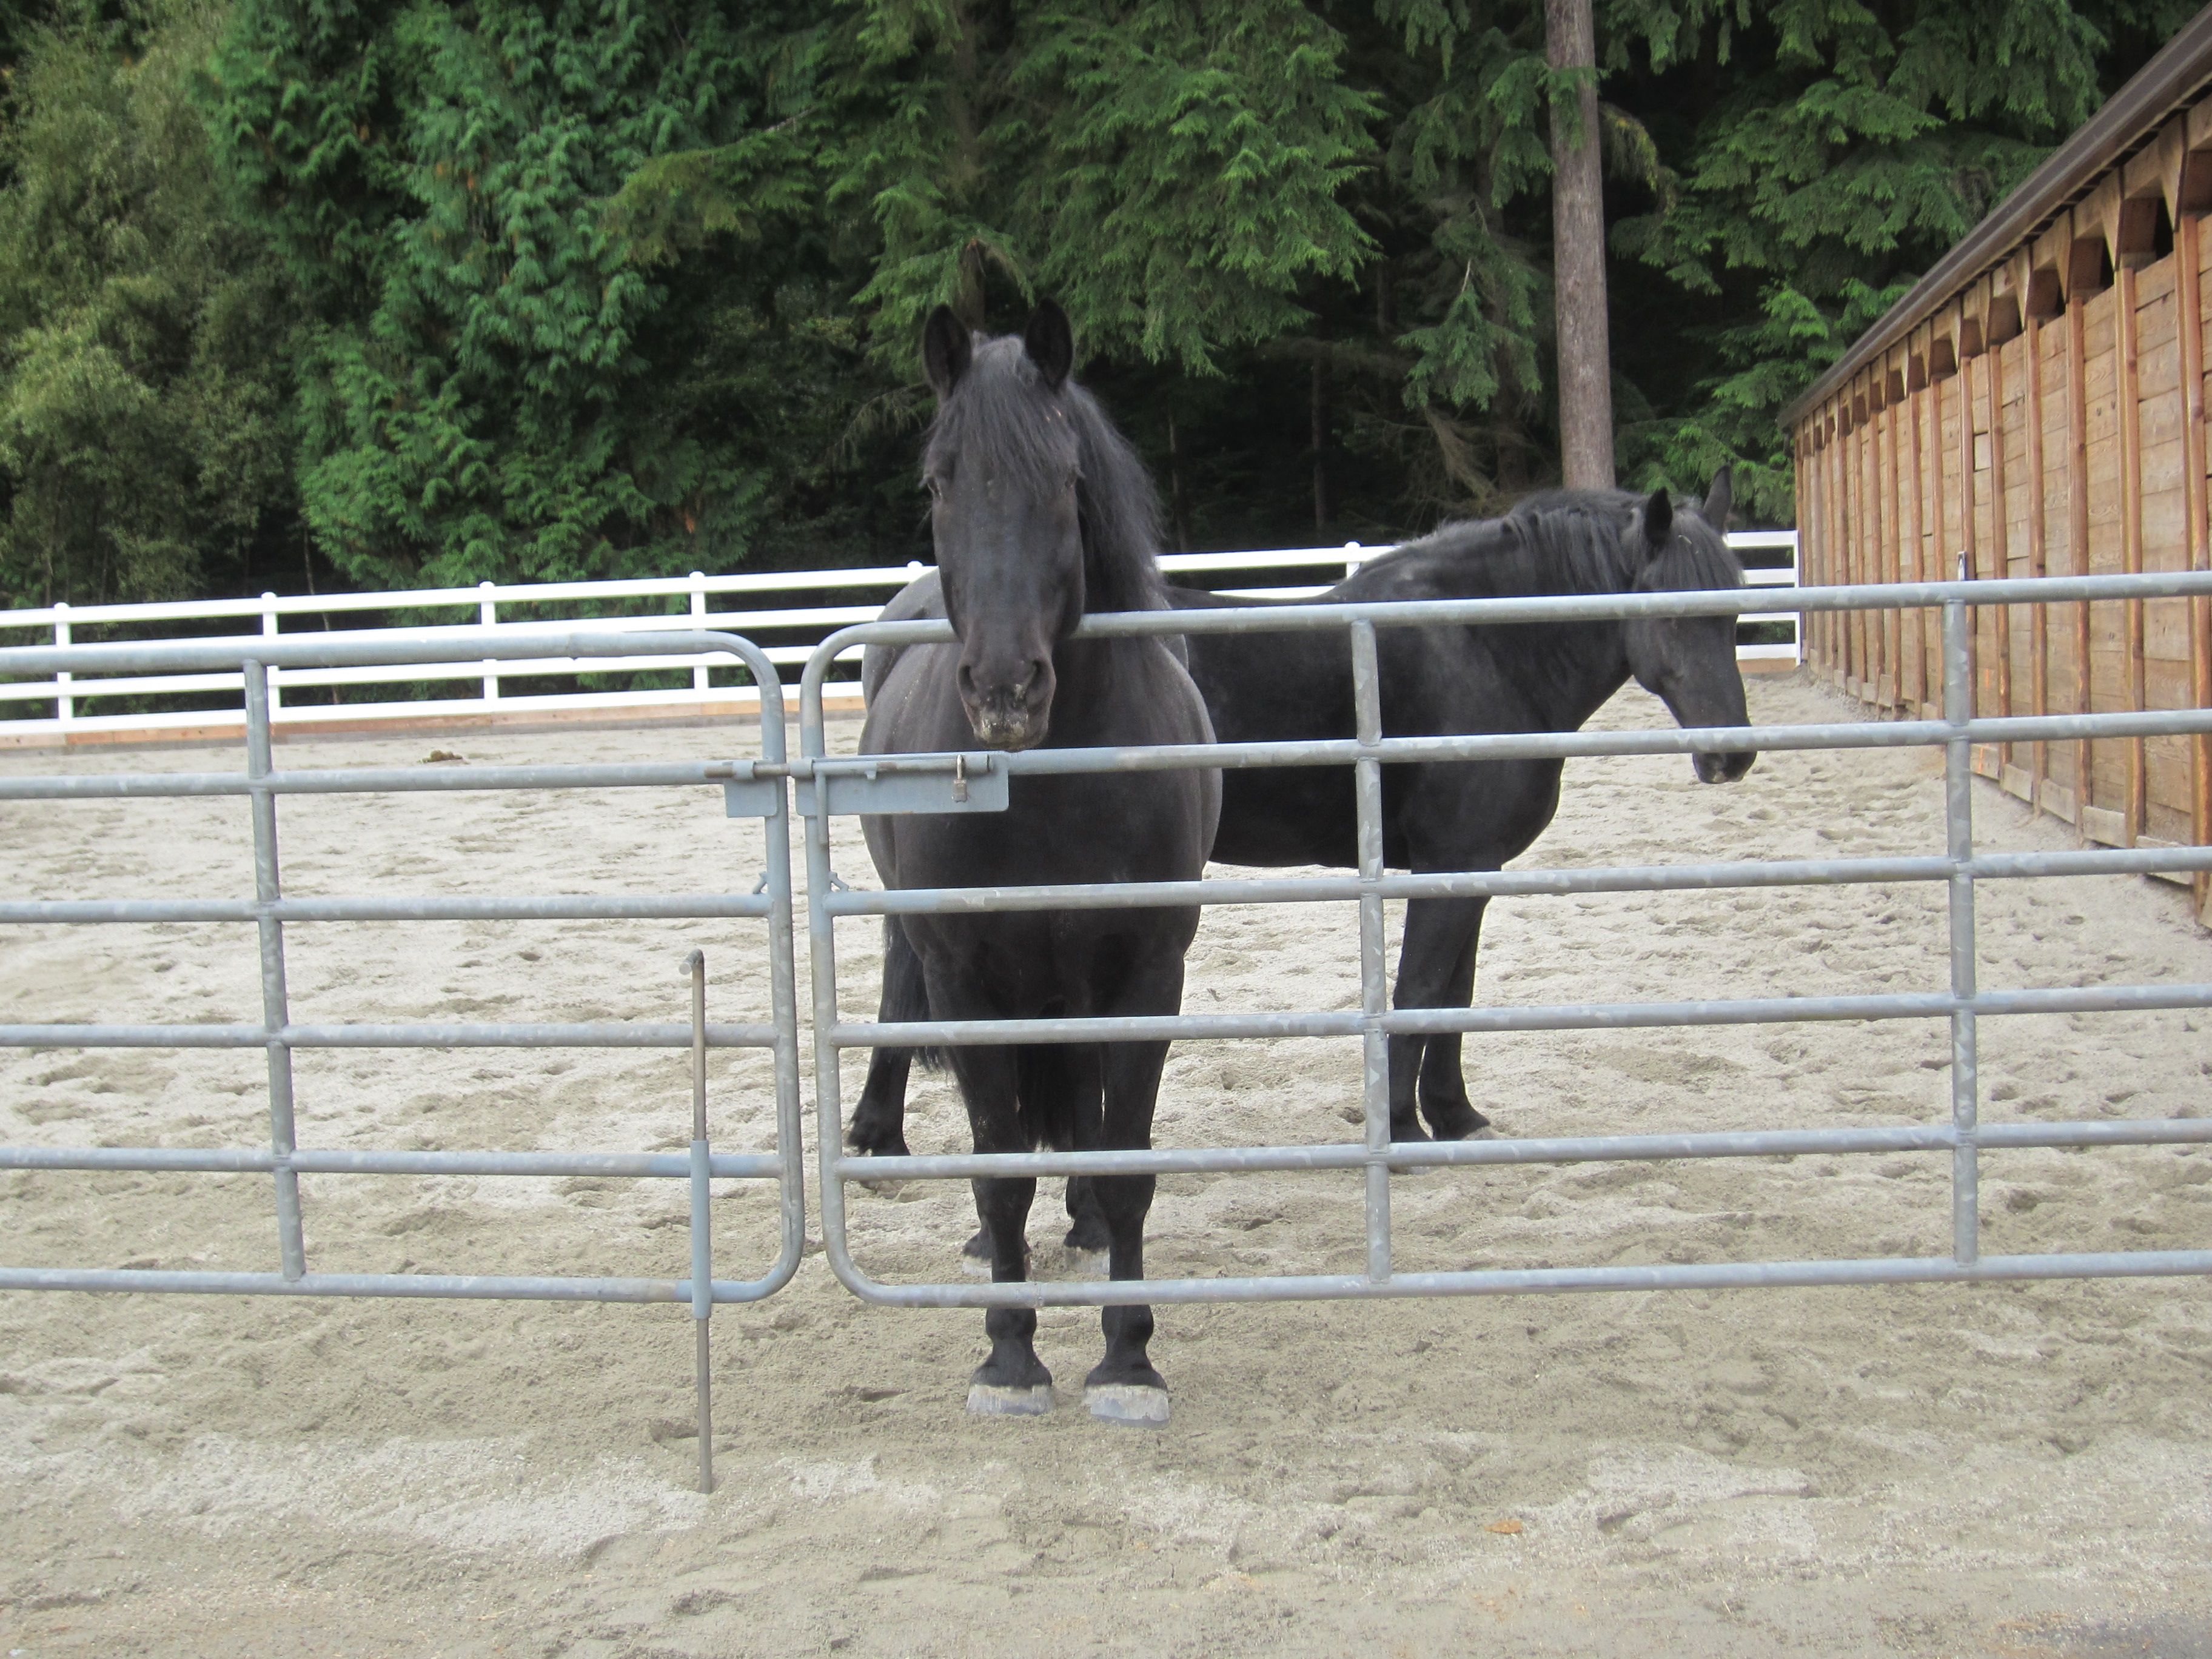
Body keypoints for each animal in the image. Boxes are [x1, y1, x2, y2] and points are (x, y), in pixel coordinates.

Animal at [849, 479, 1754, 1256]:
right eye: (1673, 615)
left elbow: (1452, 999)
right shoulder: (1453, 863)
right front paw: (1402, 1131)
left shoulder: (1467, 865)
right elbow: (1415, 997)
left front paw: (1455, 1116)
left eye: (1736, 611)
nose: (1731, 756)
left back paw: (883, 1142)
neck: (1483, 647)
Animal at [857, 300, 1219, 1425]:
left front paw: (1128, 1357)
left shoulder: (1145, 975)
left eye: (1065, 480)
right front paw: (1009, 1355)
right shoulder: (970, 979)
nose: (1005, 687)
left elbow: (1125, 1162)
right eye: (937, 480)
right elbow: (999, 1167)